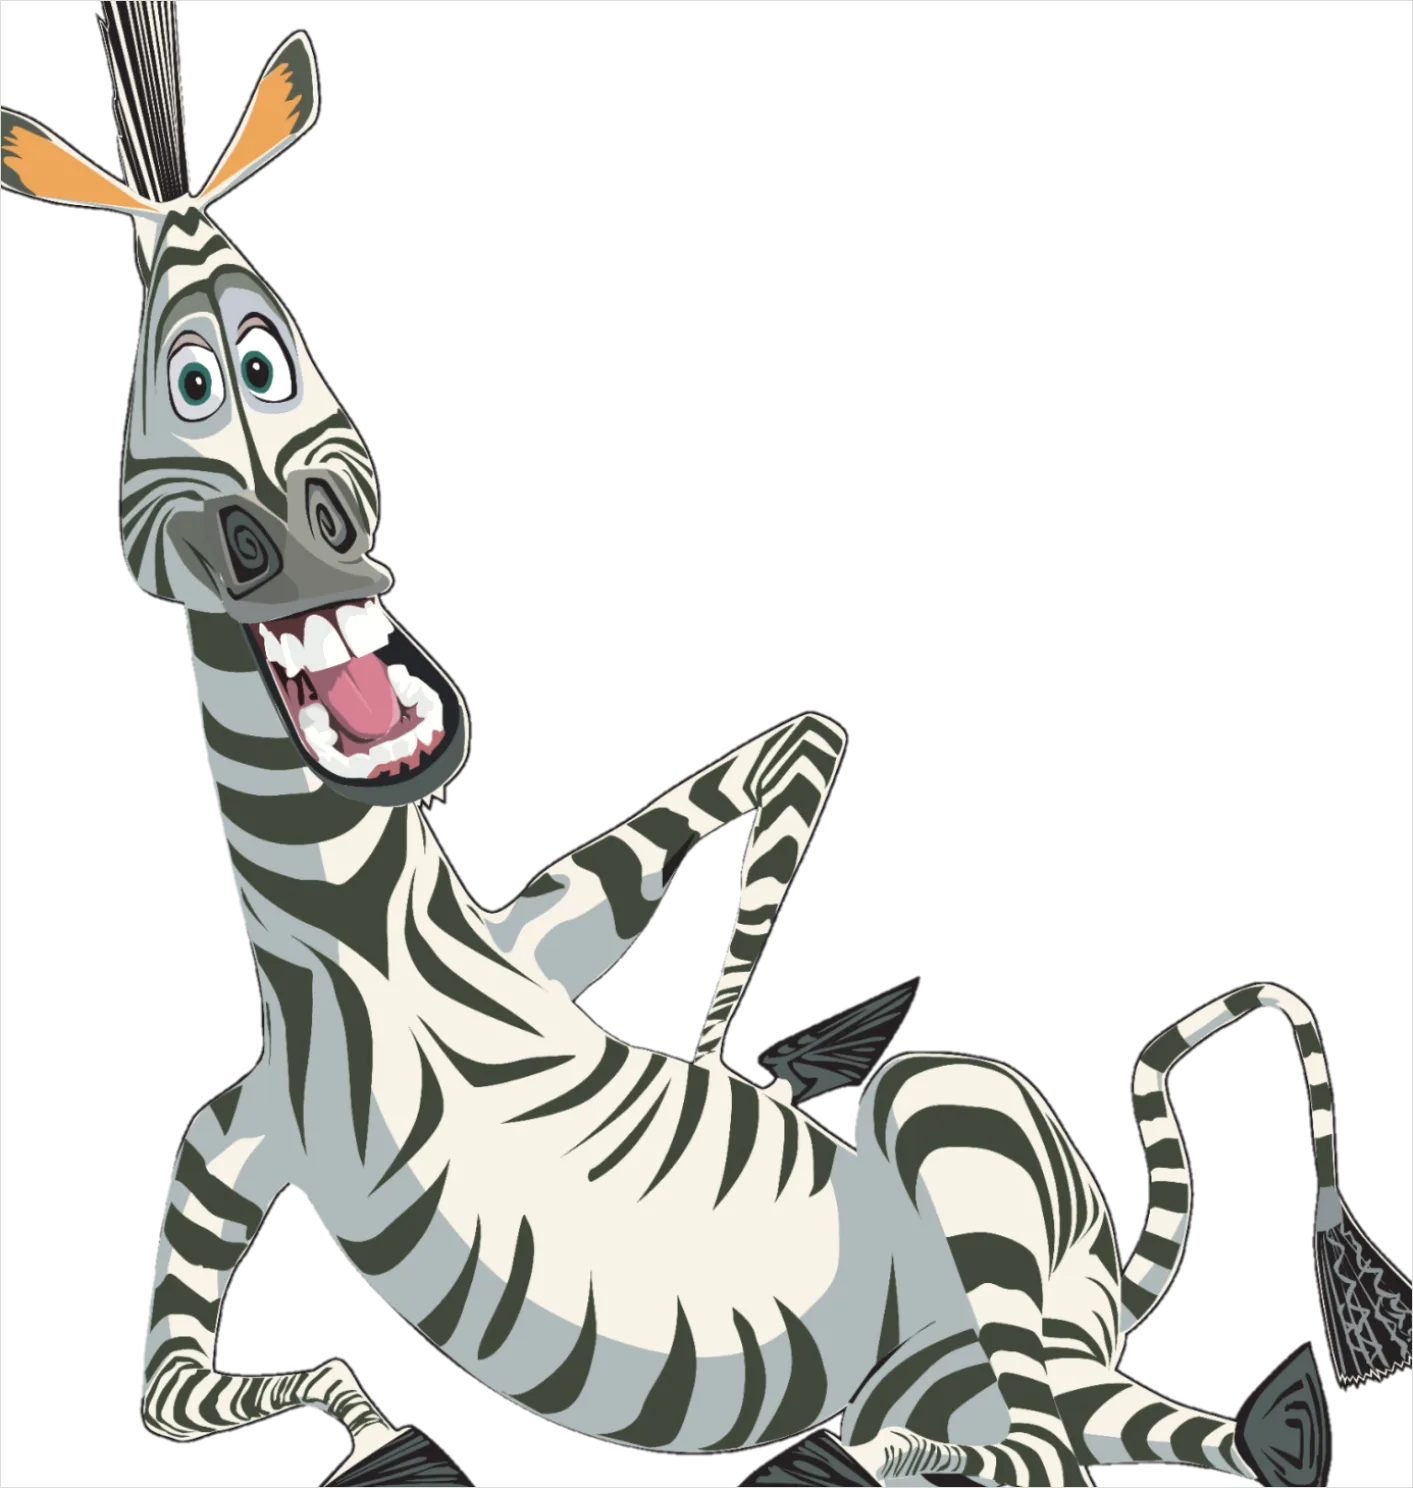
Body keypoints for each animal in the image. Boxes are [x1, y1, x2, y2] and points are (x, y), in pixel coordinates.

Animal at [4, 8, 1407, 1485]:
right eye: (191, 381)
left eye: (267, 355)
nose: (305, 539)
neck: (362, 950)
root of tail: (1094, 1292)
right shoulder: (239, 1142)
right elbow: (179, 1389)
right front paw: (377, 1429)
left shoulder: (537, 941)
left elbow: (776, 794)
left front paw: (731, 1076)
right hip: (956, 1353)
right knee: (1082, 1431)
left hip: (952, 1121)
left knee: (1045, 1438)